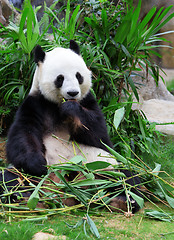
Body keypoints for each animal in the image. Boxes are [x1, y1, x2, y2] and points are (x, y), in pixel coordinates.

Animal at [0, 40, 143, 213]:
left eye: (78, 76)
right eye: (60, 78)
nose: (73, 93)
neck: (57, 105)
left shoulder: (88, 101)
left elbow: (99, 134)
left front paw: (71, 109)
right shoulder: (35, 104)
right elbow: (24, 135)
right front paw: (38, 164)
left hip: (105, 166)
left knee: (126, 178)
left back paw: (122, 200)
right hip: (28, 176)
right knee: (11, 179)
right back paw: (24, 198)